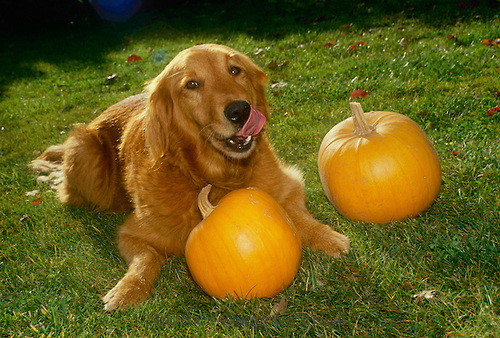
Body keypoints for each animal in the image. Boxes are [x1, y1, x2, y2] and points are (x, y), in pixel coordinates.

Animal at [31, 43, 350, 310]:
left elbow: (298, 218)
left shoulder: (288, 185)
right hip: (86, 154)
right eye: (192, 85)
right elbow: (147, 258)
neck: (212, 176)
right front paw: (128, 290)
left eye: (234, 70)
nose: (240, 110)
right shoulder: (131, 233)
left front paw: (328, 238)